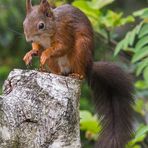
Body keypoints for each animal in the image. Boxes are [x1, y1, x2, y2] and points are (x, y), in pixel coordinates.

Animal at [22, 0, 134, 147]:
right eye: (24, 23)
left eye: (41, 25)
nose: (28, 39)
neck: (52, 26)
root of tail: (89, 67)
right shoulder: (40, 42)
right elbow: (37, 48)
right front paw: (30, 53)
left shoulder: (64, 32)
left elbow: (62, 47)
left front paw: (45, 53)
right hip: (56, 63)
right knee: (58, 71)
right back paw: (47, 71)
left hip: (81, 49)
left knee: (80, 72)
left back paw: (76, 75)